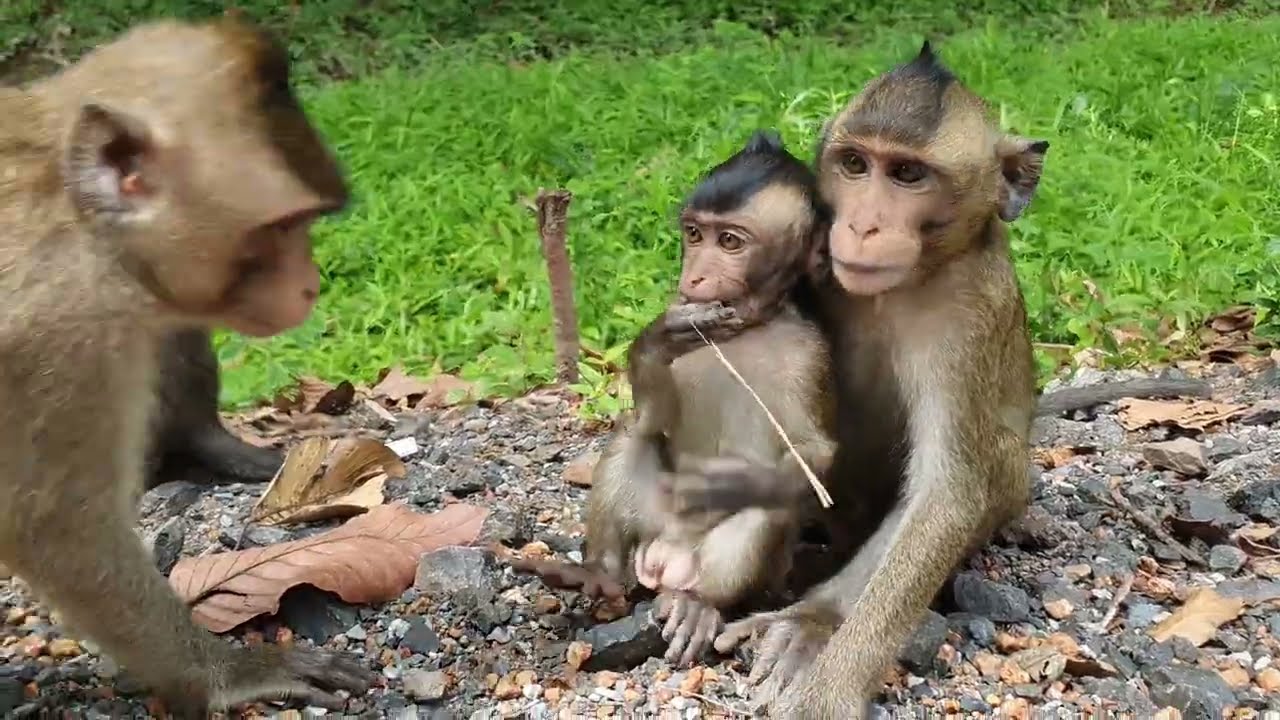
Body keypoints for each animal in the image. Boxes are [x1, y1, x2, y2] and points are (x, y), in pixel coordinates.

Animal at [582, 129, 839, 668]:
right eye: (694, 234)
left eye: (730, 242)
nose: (694, 277)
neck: (748, 327)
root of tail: (667, 557)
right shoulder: (683, 313)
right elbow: (653, 417)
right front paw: (655, 343)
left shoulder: (810, 356)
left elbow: (815, 456)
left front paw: (727, 484)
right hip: (650, 521)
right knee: (632, 435)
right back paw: (603, 572)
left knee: (770, 505)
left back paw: (699, 604)